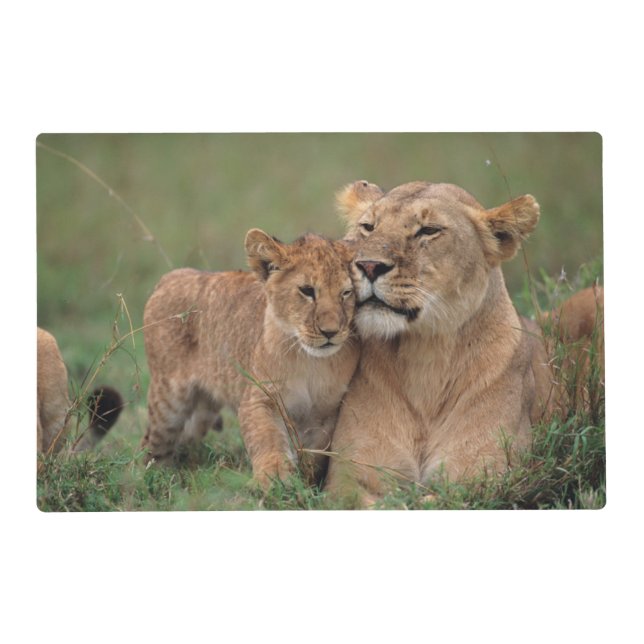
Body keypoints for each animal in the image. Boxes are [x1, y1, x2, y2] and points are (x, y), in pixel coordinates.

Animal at [141, 229, 360, 487]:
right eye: (307, 290)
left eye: (346, 293)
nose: (330, 332)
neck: (311, 361)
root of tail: (171, 276)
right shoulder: (260, 397)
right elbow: (267, 438)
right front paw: (274, 477)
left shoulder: (326, 414)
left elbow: (313, 455)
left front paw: (305, 482)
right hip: (168, 401)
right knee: (151, 444)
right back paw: (148, 477)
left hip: (203, 411)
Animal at [325, 180, 603, 504]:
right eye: (368, 227)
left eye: (428, 230)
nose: (368, 265)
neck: (425, 357)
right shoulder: (349, 477)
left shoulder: (484, 475)